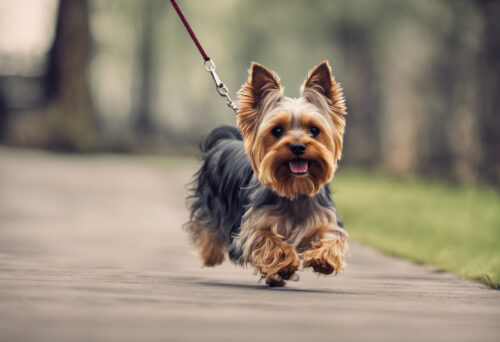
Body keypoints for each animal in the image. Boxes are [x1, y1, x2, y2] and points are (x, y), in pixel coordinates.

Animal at [186, 61, 346, 286]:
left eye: (314, 130)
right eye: (277, 130)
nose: (298, 146)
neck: (295, 188)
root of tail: (228, 140)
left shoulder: (323, 218)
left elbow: (333, 238)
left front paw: (323, 259)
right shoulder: (251, 226)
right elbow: (267, 239)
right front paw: (286, 264)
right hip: (211, 202)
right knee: (207, 226)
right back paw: (211, 255)